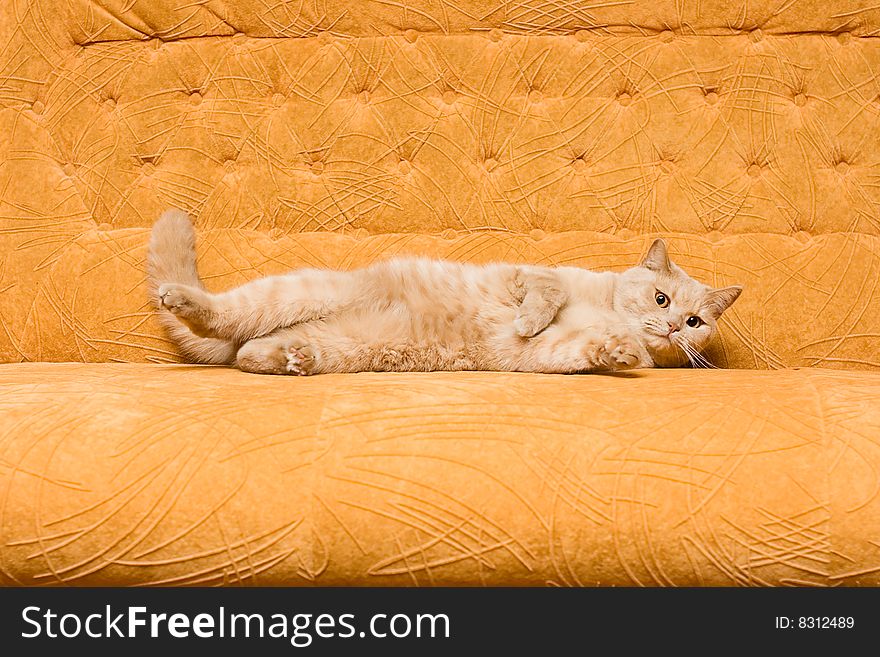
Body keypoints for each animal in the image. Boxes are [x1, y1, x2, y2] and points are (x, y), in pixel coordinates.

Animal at [146, 209, 744, 374]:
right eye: (663, 300)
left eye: (695, 322)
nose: (673, 326)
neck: (610, 311)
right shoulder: (528, 273)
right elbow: (545, 293)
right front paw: (530, 318)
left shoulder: (548, 357)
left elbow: (582, 350)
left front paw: (617, 353)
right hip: (292, 292)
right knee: (223, 318)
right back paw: (184, 299)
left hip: (335, 344)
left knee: (247, 351)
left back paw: (289, 357)